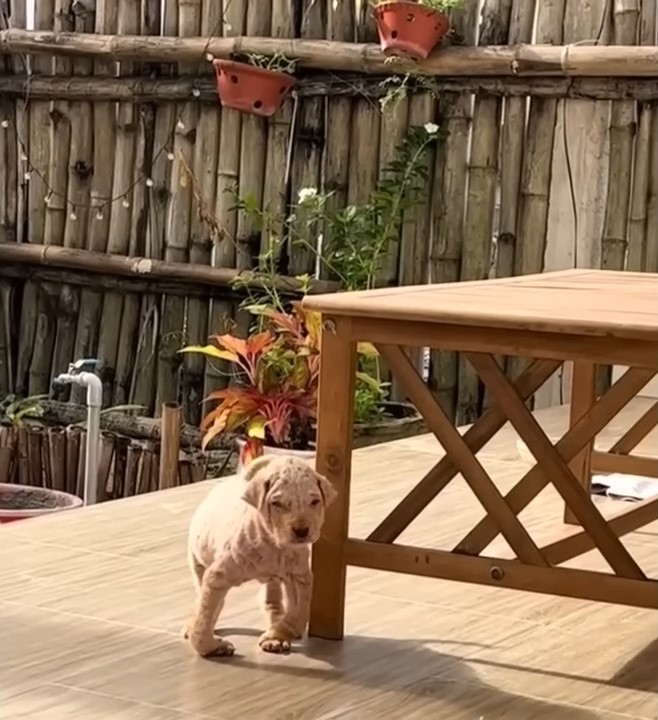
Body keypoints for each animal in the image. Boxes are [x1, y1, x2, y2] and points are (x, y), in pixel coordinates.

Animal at [181, 456, 334, 660]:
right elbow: (205, 613)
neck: (274, 545)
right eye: (276, 503)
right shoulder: (217, 575)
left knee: (271, 602)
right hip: (198, 562)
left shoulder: (301, 577)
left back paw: (275, 634)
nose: (302, 531)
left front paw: (278, 634)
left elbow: (299, 613)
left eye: (315, 501)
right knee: (206, 600)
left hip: (273, 581)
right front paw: (211, 647)